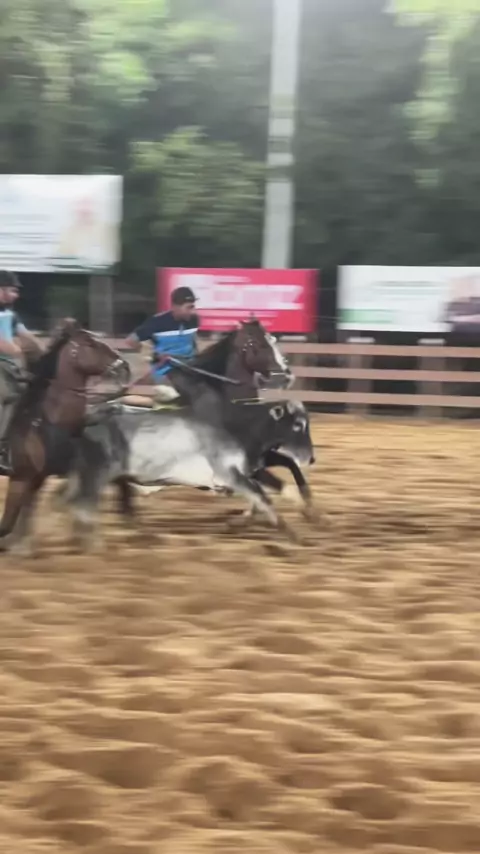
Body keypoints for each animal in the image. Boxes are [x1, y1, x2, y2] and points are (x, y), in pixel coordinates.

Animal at [0, 321, 130, 555]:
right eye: (90, 343)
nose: (124, 367)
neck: (41, 420)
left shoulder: (36, 479)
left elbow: (24, 516)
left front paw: (20, 548)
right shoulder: (20, 478)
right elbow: (8, 520)